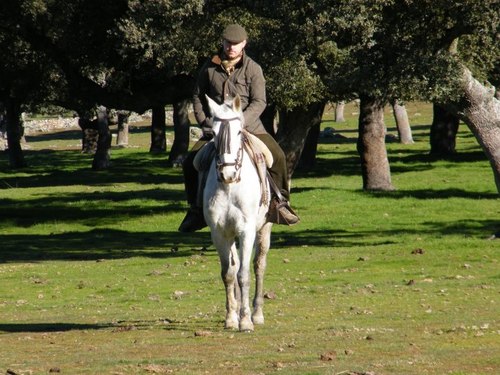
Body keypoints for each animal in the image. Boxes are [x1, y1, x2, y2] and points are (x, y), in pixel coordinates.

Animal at [202, 95, 274, 334]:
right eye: (213, 133)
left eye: (239, 132)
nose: (228, 173)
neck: (230, 188)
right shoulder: (219, 234)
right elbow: (228, 274)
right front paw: (231, 318)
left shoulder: (246, 231)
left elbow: (244, 274)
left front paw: (246, 321)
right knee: (233, 267)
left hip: (263, 229)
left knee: (259, 265)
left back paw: (257, 314)